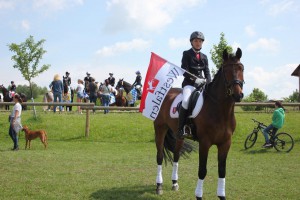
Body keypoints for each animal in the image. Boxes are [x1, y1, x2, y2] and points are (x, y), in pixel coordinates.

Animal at [154, 47, 245, 199]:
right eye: (226, 70)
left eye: (241, 68)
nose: (238, 95)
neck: (220, 110)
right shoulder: (205, 143)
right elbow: (202, 170)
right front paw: (199, 196)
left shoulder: (225, 143)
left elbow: (222, 171)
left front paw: (222, 196)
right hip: (160, 129)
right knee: (160, 156)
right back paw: (159, 186)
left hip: (179, 135)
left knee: (176, 155)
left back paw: (174, 183)